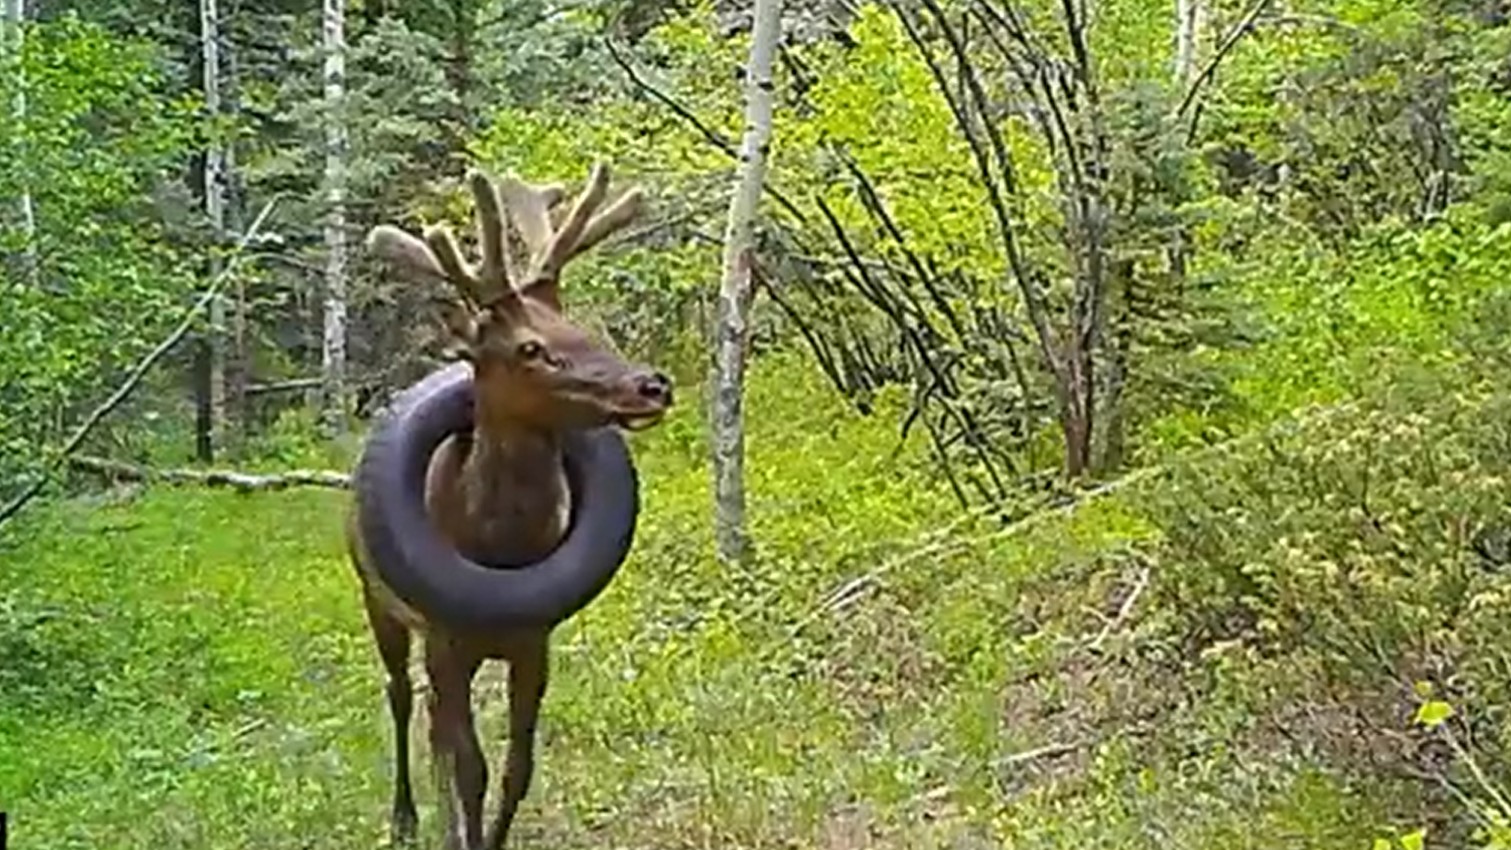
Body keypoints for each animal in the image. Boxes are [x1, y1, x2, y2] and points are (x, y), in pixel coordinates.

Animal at [346, 161, 674, 850]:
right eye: (528, 347)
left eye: (579, 327)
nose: (652, 385)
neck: (498, 546)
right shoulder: (445, 637)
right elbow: (471, 766)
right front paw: (459, 829)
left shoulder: (533, 641)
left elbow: (517, 767)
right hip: (376, 599)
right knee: (400, 696)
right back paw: (405, 816)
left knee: (433, 721)